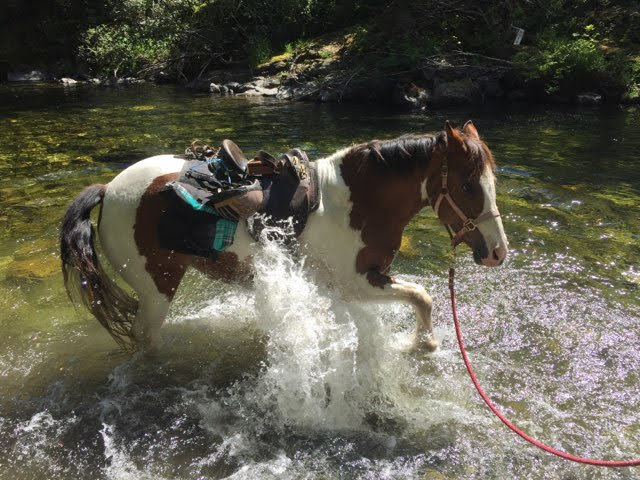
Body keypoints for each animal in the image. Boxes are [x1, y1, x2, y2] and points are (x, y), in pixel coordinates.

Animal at [60, 121, 508, 354]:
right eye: (468, 185)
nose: (498, 252)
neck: (356, 203)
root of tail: (109, 189)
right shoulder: (358, 283)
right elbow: (423, 296)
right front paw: (424, 345)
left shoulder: (339, 289)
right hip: (157, 288)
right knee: (143, 340)